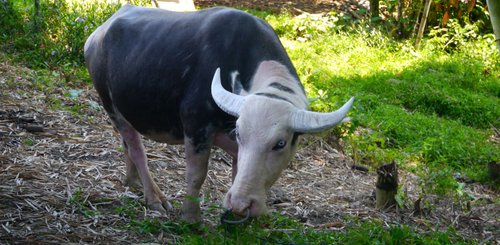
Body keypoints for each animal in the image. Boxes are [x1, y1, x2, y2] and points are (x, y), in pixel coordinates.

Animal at [84, 4, 354, 222]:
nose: (242, 203)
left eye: (280, 143)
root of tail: (96, 35)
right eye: (241, 134)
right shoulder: (196, 126)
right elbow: (196, 175)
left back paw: (132, 182)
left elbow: (237, 172)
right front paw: (191, 218)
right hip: (110, 104)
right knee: (137, 148)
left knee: (127, 145)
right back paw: (155, 199)